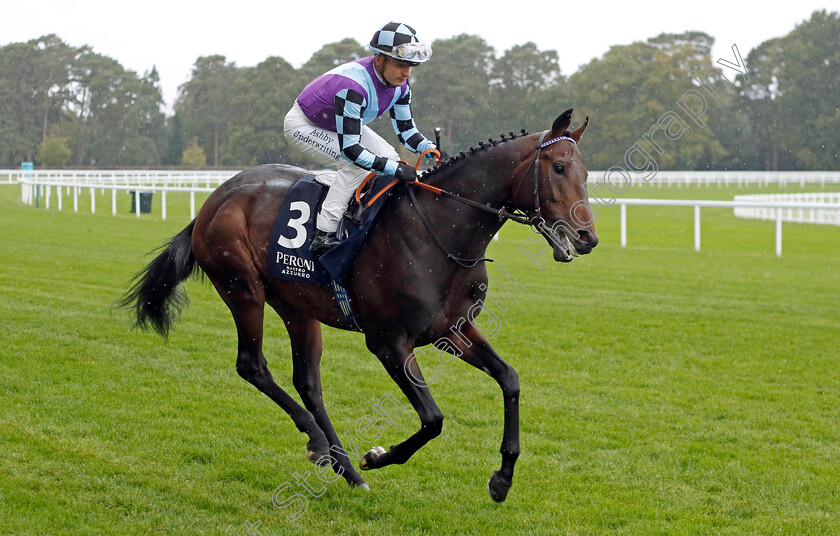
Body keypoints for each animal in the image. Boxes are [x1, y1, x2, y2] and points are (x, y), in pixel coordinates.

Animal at [123, 109, 596, 502]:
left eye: (586, 172)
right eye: (558, 168)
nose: (587, 237)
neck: (439, 231)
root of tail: (213, 200)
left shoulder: (452, 329)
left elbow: (510, 380)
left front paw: (502, 479)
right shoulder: (388, 342)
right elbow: (433, 418)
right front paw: (377, 456)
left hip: (296, 305)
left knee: (308, 382)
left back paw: (343, 466)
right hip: (242, 288)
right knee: (252, 365)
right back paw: (326, 448)